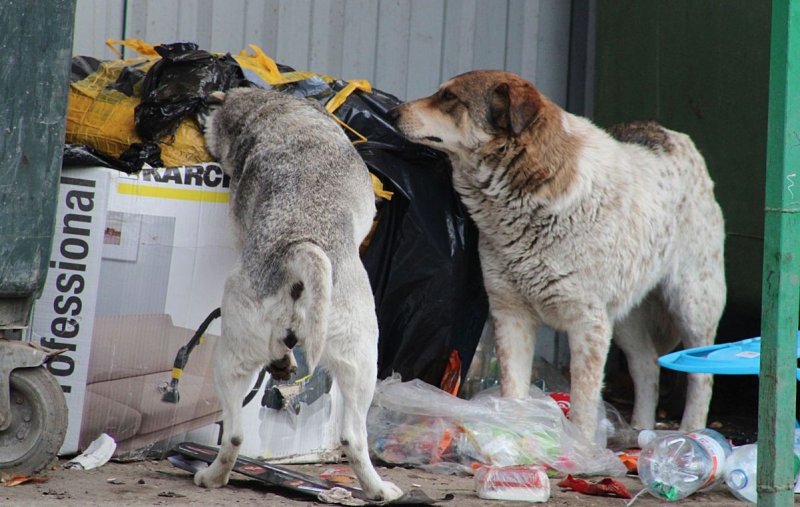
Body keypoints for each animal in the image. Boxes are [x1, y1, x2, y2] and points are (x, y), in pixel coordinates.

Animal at [197, 88, 404, 504]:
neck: (272, 110)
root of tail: (300, 246)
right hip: (361, 360)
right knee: (352, 436)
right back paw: (378, 490)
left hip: (230, 356)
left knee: (235, 432)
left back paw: (212, 477)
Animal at [390, 69, 728, 442]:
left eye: (450, 98)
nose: (392, 113)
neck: (529, 192)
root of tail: (671, 134)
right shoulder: (512, 315)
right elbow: (514, 392)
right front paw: (518, 441)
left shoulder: (587, 326)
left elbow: (583, 404)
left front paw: (580, 448)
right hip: (624, 317)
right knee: (647, 366)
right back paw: (639, 430)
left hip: (692, 303)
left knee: (702, 374)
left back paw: (692, 432)